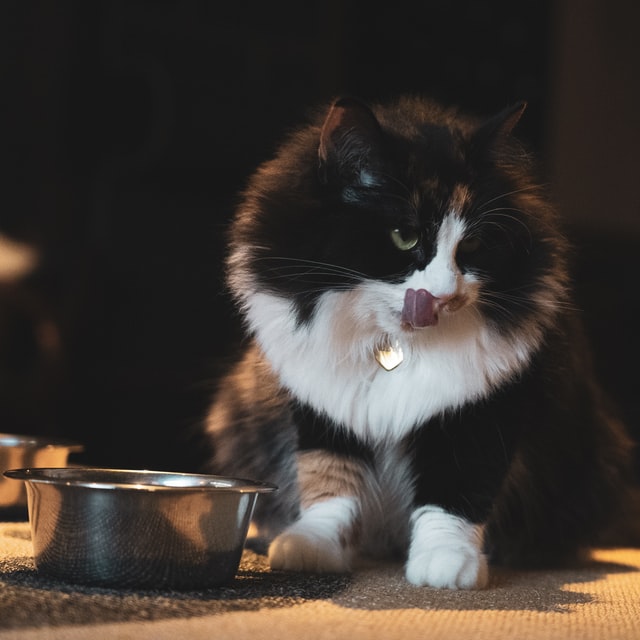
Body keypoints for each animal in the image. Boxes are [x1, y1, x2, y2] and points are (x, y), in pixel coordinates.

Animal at [201, 92, 636, 588]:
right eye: (405, 236)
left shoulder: (480, 411)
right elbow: (328, 481)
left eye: (471, 247)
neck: (395, 346)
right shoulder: (323, 406)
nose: (446, 296)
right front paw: (313, 547)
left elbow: (455, 494)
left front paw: (447, 565)